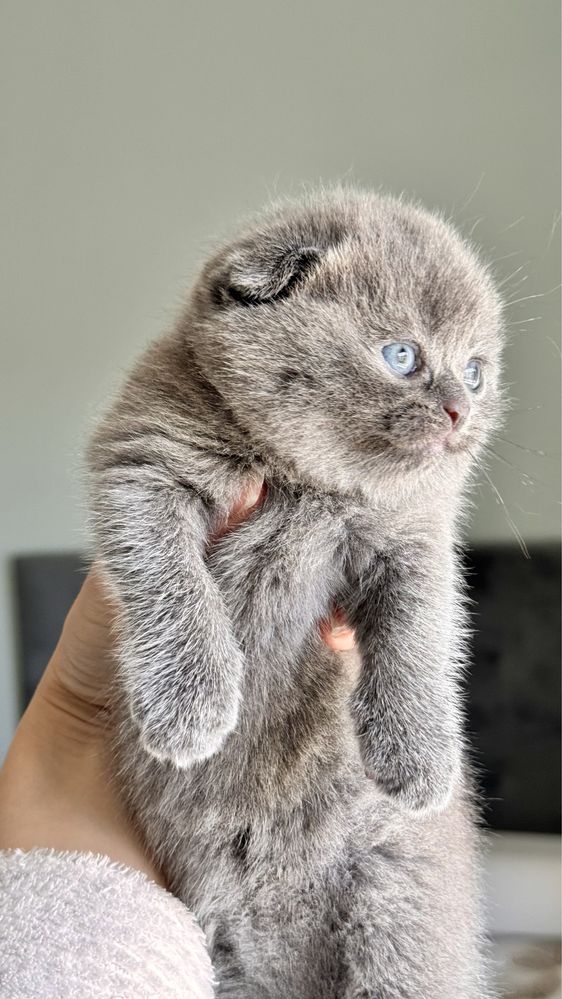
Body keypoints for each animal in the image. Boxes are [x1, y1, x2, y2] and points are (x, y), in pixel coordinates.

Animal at [88, 189, 504, 999]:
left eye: (475, 372)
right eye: (401, 355)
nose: (460, 413)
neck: (311, 484)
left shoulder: (417, 537)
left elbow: (421, 630)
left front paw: (418, 754)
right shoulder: (145, 462)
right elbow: (170, 578)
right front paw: (191, 702)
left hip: (399, 915)